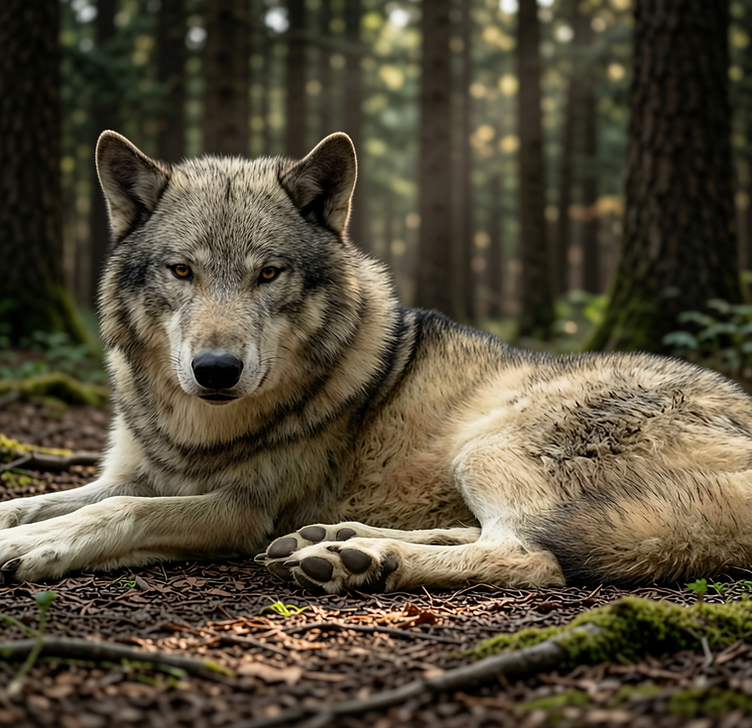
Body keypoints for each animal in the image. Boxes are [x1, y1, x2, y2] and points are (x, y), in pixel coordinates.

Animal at [0, 130, 751, 594]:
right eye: (181, 270)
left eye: (268, 273)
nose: (216, 369)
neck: (194, 431)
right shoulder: (134, 474)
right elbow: (43, 501)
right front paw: (21, 524)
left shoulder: (242, 510)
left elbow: (119, 512)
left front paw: (27, 548)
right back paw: (337, 539)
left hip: (489, 445)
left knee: (531, 556)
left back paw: (360, 560)